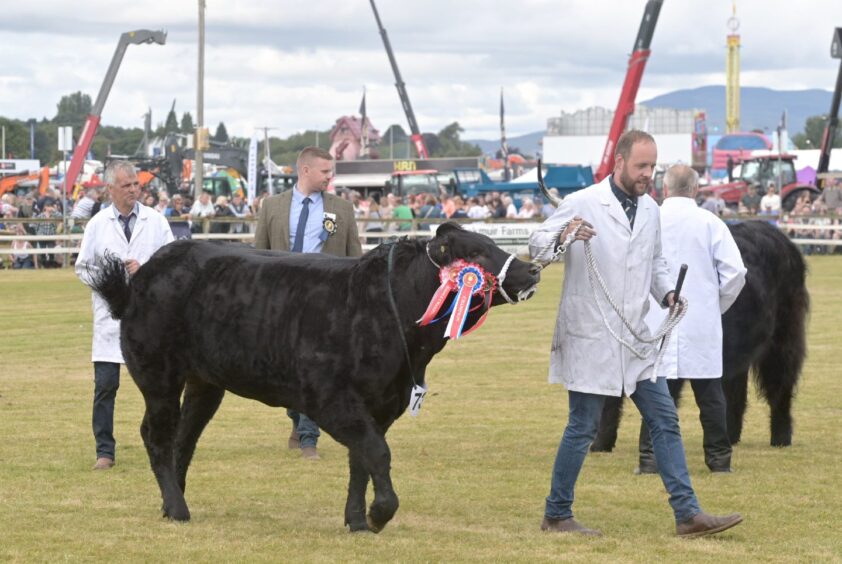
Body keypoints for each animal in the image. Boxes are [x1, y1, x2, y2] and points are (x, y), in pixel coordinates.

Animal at [88, 223, 540, 532]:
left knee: (184, 437)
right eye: (477, 253)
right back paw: (178, 508)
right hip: (158, 374)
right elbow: (376, 453)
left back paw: (173, 504)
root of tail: (145, 272)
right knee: (157, 435)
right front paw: (379, 514)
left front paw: (356, 519)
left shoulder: (382, 403)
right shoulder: (332, 399)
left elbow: (362, 460)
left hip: (205, 382)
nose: (533, 270)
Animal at [592, 218, 808, 452]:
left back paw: (781, 436)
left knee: (780, 383)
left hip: (783, 339)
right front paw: (600, 442)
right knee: (735, 391)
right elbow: (610, 400)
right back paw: (730, 434)